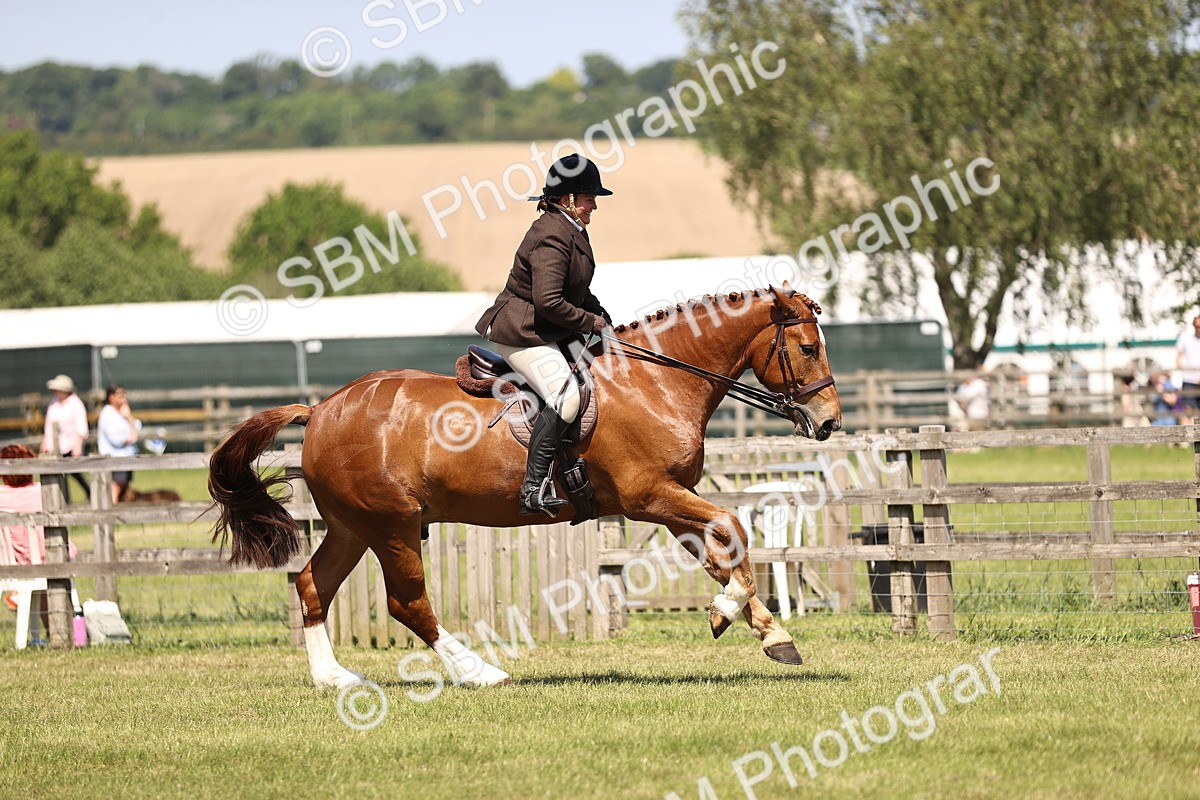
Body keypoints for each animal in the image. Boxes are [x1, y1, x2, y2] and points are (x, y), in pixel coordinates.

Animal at [207, 284, 841, 689]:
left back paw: (334, 678)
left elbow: (723, 553)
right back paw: (479, 673)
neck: (656, 383)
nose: (830, 422)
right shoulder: (650, 497)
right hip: (391, 524)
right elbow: (732, 528)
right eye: (808, 348)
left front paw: (766, 632)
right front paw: (731, 614)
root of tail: (320, 409)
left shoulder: (669, 505)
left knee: (313, 586)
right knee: (407, 603)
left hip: (352, 525)